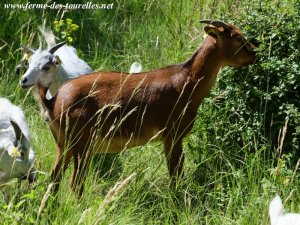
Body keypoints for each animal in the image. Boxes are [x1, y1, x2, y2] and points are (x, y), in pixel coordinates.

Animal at [21, 19, 256, 195]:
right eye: (236, 36)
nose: (254, 53)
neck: (185, 82)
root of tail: (53, 101)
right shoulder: (172, 136)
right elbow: (176, 176)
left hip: (64, 145)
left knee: (55, 180)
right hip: (82, 145)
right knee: (75, 183)